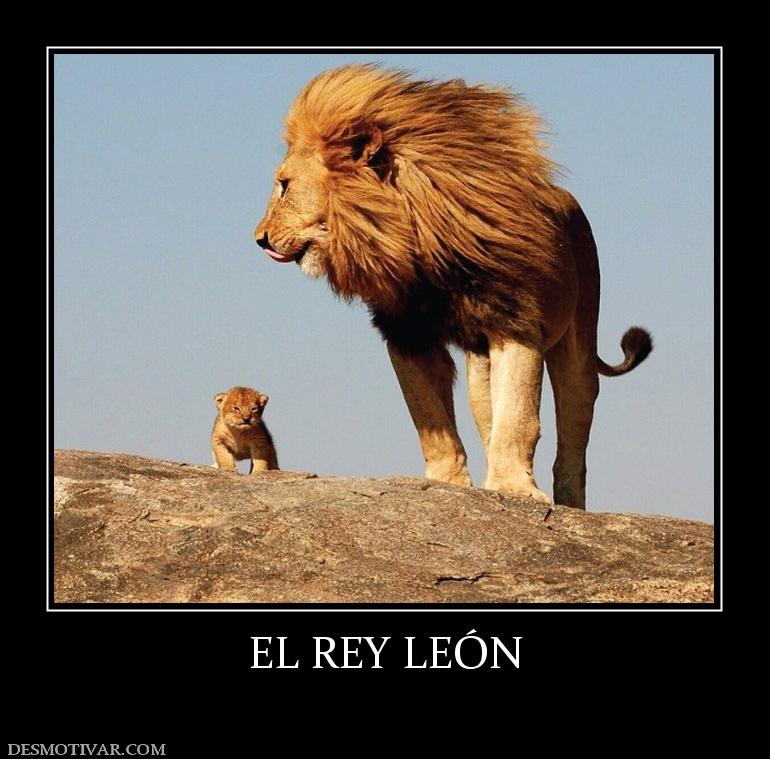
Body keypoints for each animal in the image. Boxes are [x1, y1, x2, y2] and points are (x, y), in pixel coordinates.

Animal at [254, 65, 651, 508]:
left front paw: (514, 489)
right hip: (480, 368)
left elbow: (519, 416)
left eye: (284, 185)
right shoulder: (407, 333)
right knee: (487, 415)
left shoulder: (515, 322)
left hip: (578, 343)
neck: (416, 241)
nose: (260, 239)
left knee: (574, 431)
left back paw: (568, 502)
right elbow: (430, 419)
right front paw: (449, 483)